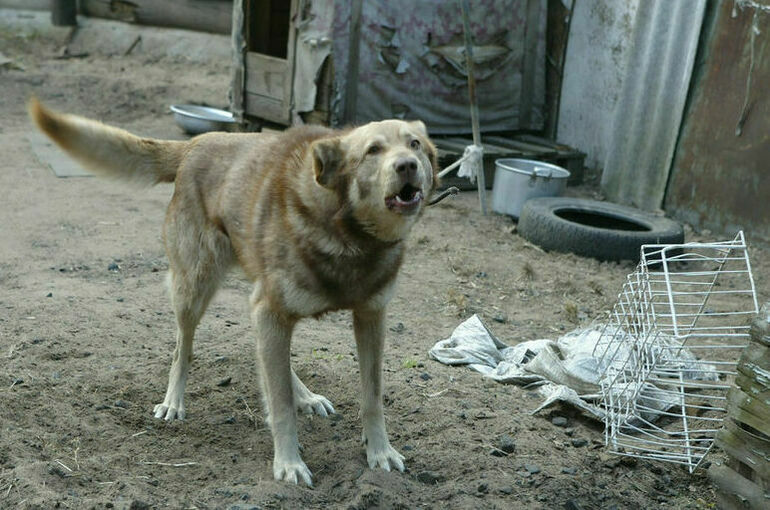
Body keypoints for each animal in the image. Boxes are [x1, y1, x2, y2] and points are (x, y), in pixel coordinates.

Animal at [28, 99, 438, 486]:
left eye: (414, 144)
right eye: (373, 150)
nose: (407, 166)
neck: (348, 234)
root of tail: (195, 144)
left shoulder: (369, 318)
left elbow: (372, 397)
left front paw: (380, 453)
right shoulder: (271, 311)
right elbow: (279, 405)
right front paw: (288, 463)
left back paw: (306, 395)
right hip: (194, 288)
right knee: (183, 349)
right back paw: (173, 402)